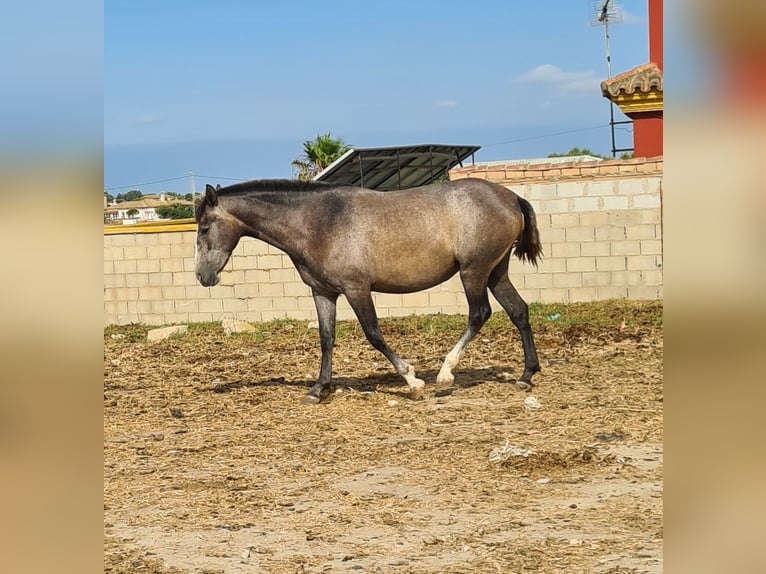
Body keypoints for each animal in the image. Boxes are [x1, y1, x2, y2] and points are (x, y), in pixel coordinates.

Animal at [198, 178, 544, 408]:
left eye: (204, 228)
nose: (203, 276)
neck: (319, 222)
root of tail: (512, 197)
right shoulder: (323, 293)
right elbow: (326, 339)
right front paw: (318, 389)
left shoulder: (357, 289)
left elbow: (374, 335)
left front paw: (413, 381)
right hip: (496, 271)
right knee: (519, 310)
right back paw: (526, 375)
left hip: (473, 271)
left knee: (479, 314)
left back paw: (445, 375)